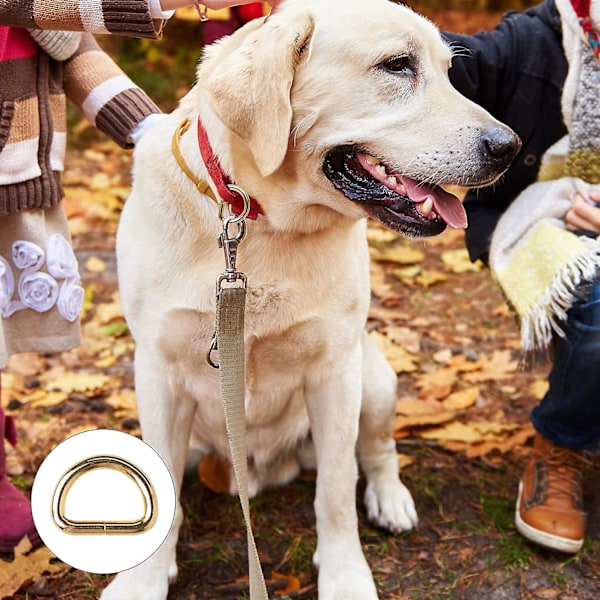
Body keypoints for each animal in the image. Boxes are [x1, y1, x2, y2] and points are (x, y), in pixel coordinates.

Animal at [102, 1, 516, 600]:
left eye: (448, 71)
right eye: (397, 65)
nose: (510, 148)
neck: (259, 221)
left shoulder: (335, 373)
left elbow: (338, 489)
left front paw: (345, 576)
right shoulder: (158, 373)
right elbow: (164, 493)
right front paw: (143, 580)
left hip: (375, 378)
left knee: (377, 452)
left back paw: (390, 498)